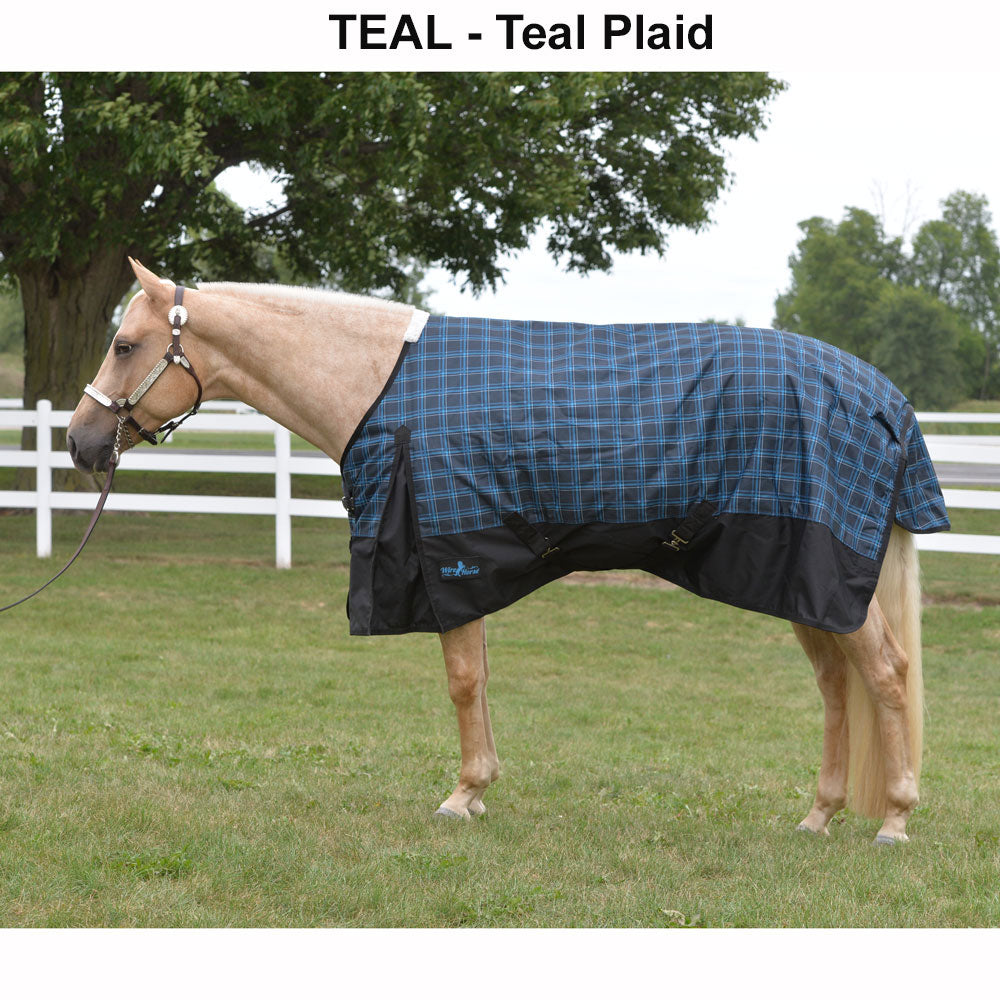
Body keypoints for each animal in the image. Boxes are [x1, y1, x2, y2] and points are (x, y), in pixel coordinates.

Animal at [67, 257, 949, 845]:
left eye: (124, 344)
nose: (79, 442)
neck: (378, 385)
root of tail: (884, 398)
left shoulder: (445, 557)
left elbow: (462, 683)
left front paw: (462, 797)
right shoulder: (467, 562)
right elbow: (480, 680)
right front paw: (480, 789)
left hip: (832, 577)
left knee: (885, 675)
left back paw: (896, 818)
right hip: (806, 584)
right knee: (837, 689)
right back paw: (819, 814)